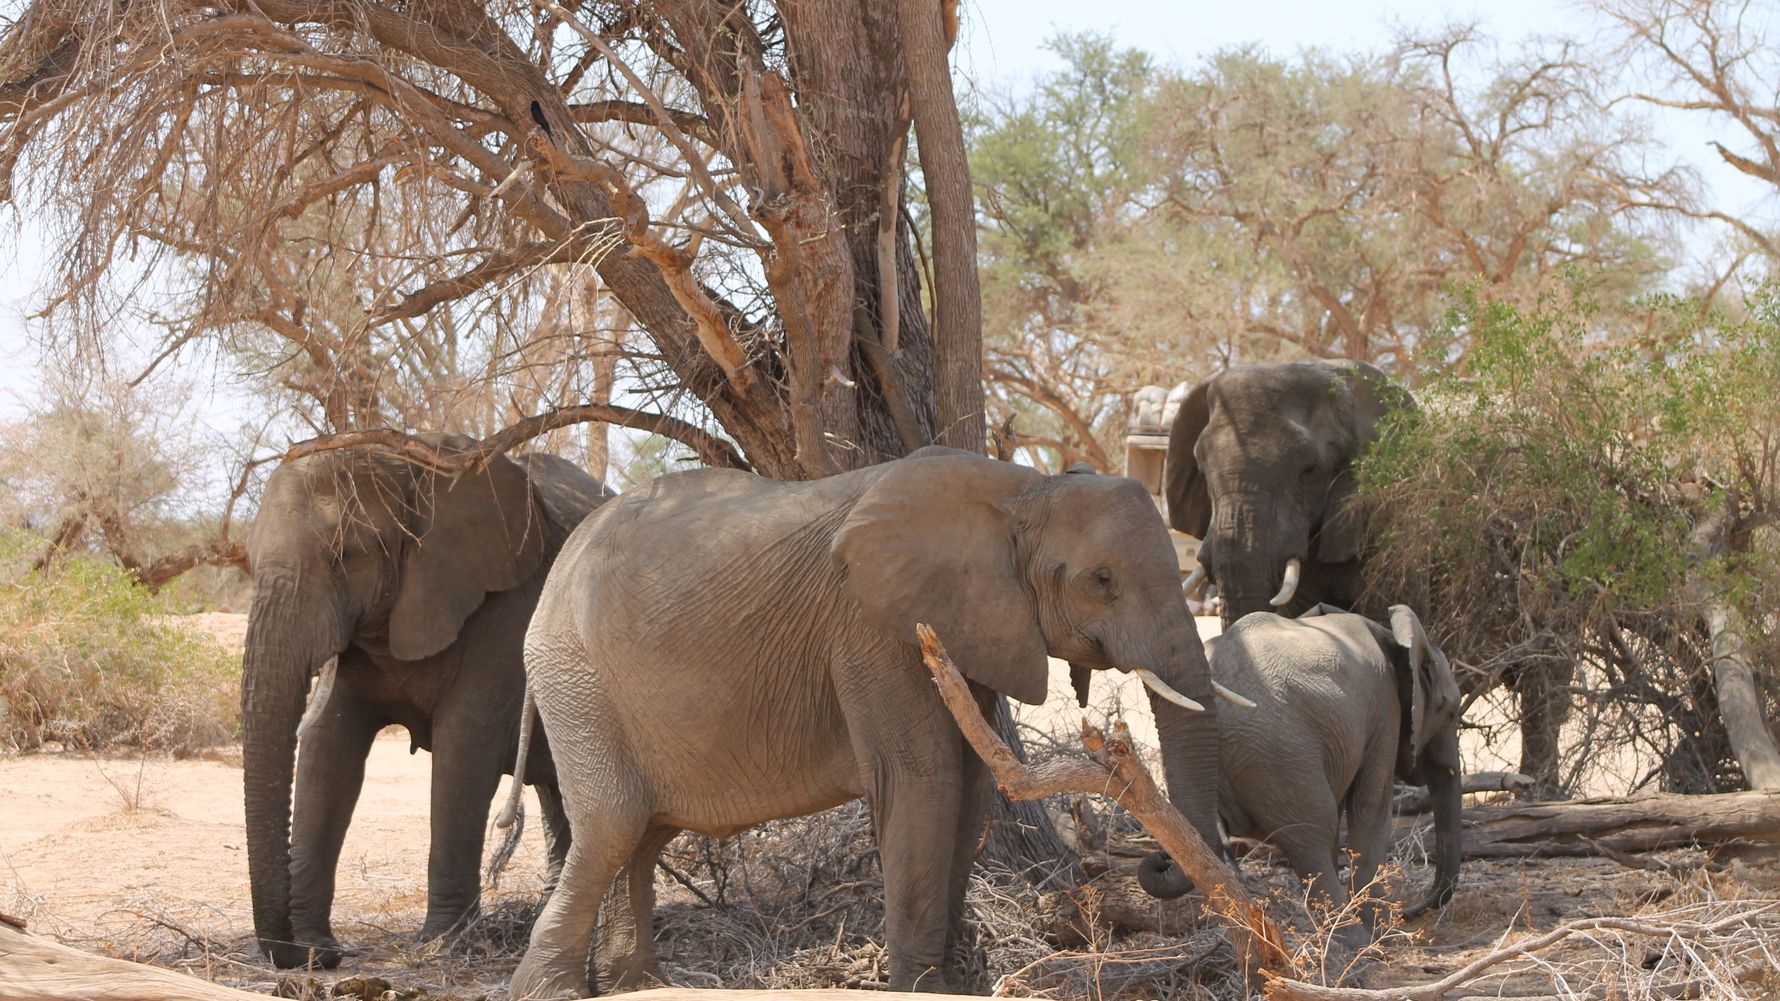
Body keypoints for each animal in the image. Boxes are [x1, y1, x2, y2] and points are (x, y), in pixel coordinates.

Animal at [241, 435, 609, 969]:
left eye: (347, 555)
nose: (320, 955)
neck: (412, 467)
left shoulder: (507, 608)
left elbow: (464, 748)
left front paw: (443, 944)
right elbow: (328, 752)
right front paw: (315, 945)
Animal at [504, 447, 1242, 999]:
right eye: (1102, 580)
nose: (1154, 862)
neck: (1023, 489)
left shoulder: (967, 627)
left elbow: (970, 786)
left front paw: (952, 981)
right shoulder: (876, 629)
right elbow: (924, 779)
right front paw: (924, 988)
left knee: (642, 834)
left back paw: (638, 984)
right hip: (577, 681)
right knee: (613, 824)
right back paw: (551, 991)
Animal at [1137, 604, 1464, 931]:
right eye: (1450, 712)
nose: (1408, 911)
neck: (1394, 635)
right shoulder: (1385, 711)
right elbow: (1368, 811)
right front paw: (1382, 929)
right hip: (1278, 754)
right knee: (1313, 838)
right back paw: (1352, 936)